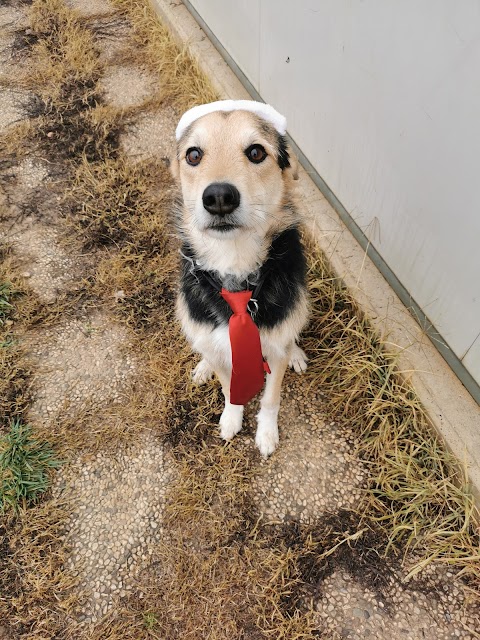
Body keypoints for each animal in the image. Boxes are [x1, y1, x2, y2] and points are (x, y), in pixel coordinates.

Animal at [171, 100, 310, 456]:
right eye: (193, 155)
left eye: (256, 152)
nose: (219, 197)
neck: (235, 264)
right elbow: (228, 387)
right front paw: (231, 419)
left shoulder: (275, 349)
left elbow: (271, 398)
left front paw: (266, 434)